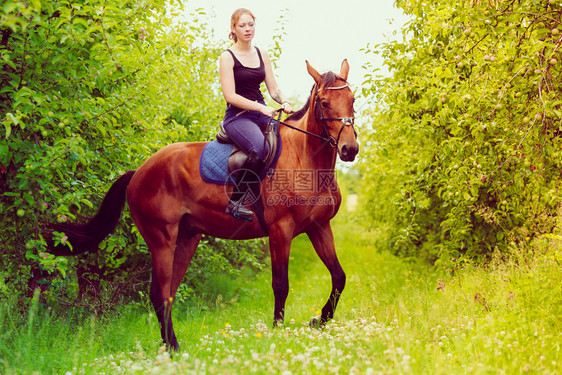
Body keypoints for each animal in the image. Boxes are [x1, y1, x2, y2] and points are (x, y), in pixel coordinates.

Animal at [51, 60, 358, 352]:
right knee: (159, 294)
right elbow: (281, 284)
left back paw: (170, 347)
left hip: (187, 237)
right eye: (324, 103)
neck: (303, 159)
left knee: (167, 293)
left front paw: (319, 319)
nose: (350, 149)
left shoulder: (319, 227)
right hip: (161, 238)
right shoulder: (280, 230)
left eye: (352, 99)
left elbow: (339, 277)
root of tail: (139, 171)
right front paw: (277, 331)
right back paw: (173, 349)